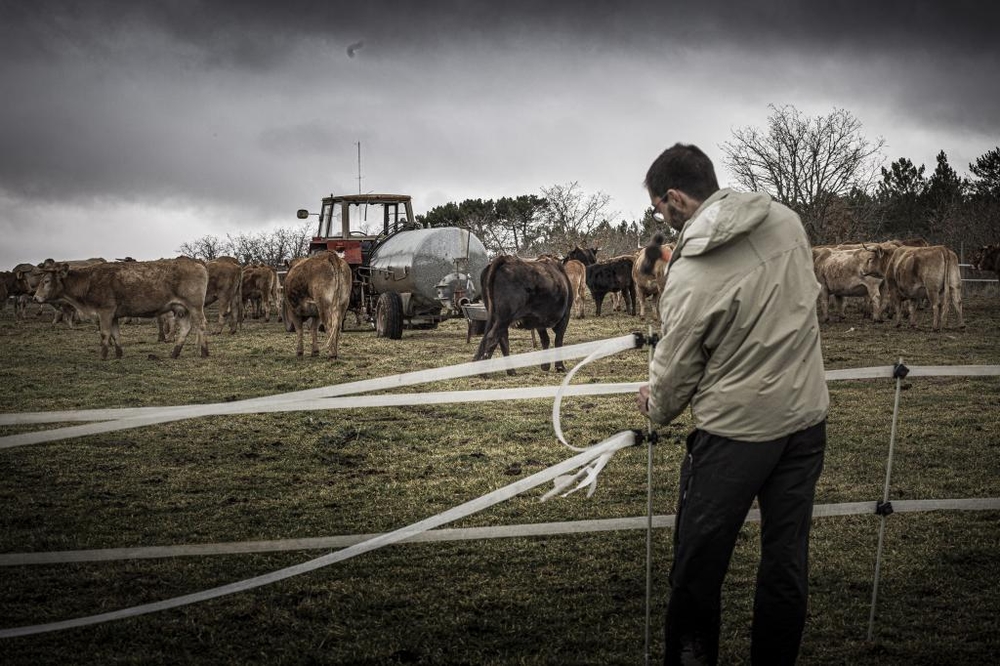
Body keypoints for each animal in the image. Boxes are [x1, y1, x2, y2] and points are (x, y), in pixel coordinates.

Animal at [33, 255, 209, 358]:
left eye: (46, 281)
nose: (35, 297)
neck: (89, 281)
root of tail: (197, 262)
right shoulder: (114, 316)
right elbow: (115, 334)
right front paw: (118, 354)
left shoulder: (105, 312)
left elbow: (105, 334)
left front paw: (103, 356)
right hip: (181, 309)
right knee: (185, 328)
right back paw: (175, 352)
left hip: (195, 307)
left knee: (201, 325)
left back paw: (204, 352)